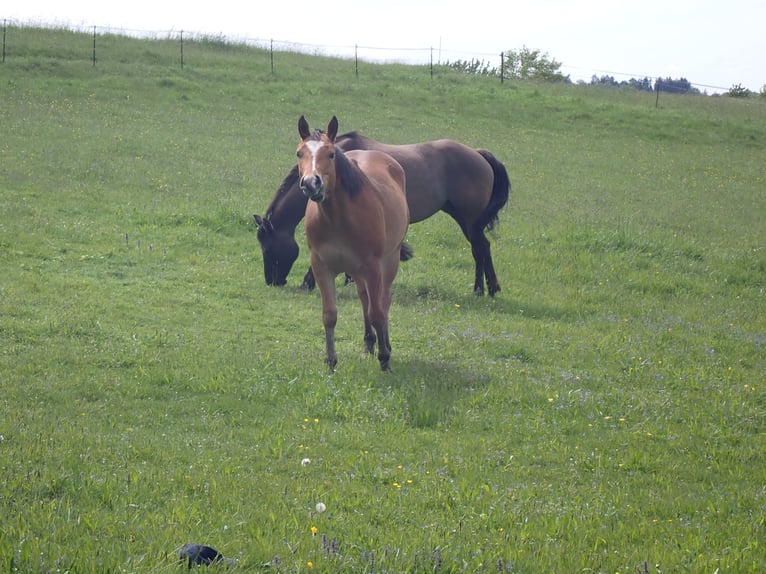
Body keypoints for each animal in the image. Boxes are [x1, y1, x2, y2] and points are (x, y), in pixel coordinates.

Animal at [255, 130, 512, 296]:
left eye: (267, 249)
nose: (271, 281)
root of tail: (478, 154)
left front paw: (308, 282)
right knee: (483, 248)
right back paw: (492, 288)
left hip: (469, 220)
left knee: (479, 249)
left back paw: (480, 289)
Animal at [296, 117, 412, 374]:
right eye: (299, 153)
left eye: (330, 154)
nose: (311, 183)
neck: (338, 218)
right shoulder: (322, 267)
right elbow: (330, 315)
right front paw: (330, 361)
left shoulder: (373, 267)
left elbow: (377, 313)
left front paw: (385, 358)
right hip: (358, 272)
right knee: (364, 298)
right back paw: (369, 343)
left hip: (389, 262)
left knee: (383, 301)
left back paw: (384, 345)